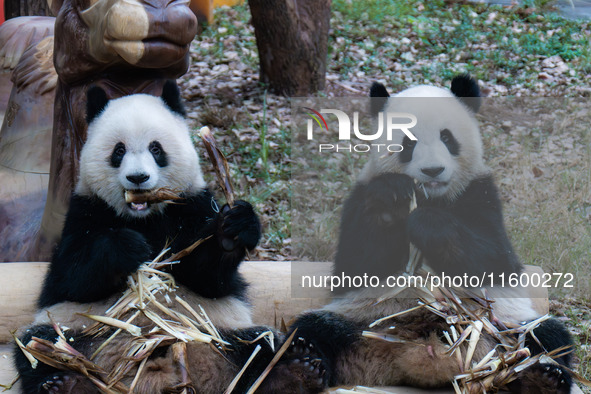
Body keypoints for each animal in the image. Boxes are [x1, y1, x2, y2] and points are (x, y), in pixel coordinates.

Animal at [13, 81, 326, 394]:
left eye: (156, 148)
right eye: (118, 150)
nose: (138, 178)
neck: (145, 216)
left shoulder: (193, 205)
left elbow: (209, 278)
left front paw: (232, 230)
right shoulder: (85, 211)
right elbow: (69, 278)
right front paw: (127, 247)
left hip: (221, 332)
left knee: (260, 345)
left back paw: (295, 372)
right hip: (80, 332)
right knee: (40, 344)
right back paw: (67, 383)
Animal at [290, 75, 576, 392]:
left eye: (447, 138)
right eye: (408, 142)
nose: (433, 170)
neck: (432, 198)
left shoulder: (480, 192)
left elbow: (495, 259)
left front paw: (426, 223)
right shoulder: (361, 194)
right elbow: (354, 265)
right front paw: (393, 198)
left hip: (498, 324)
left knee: (545, 336)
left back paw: (541, 377)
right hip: (364, 319)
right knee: (312, 330)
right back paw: (301, 368)